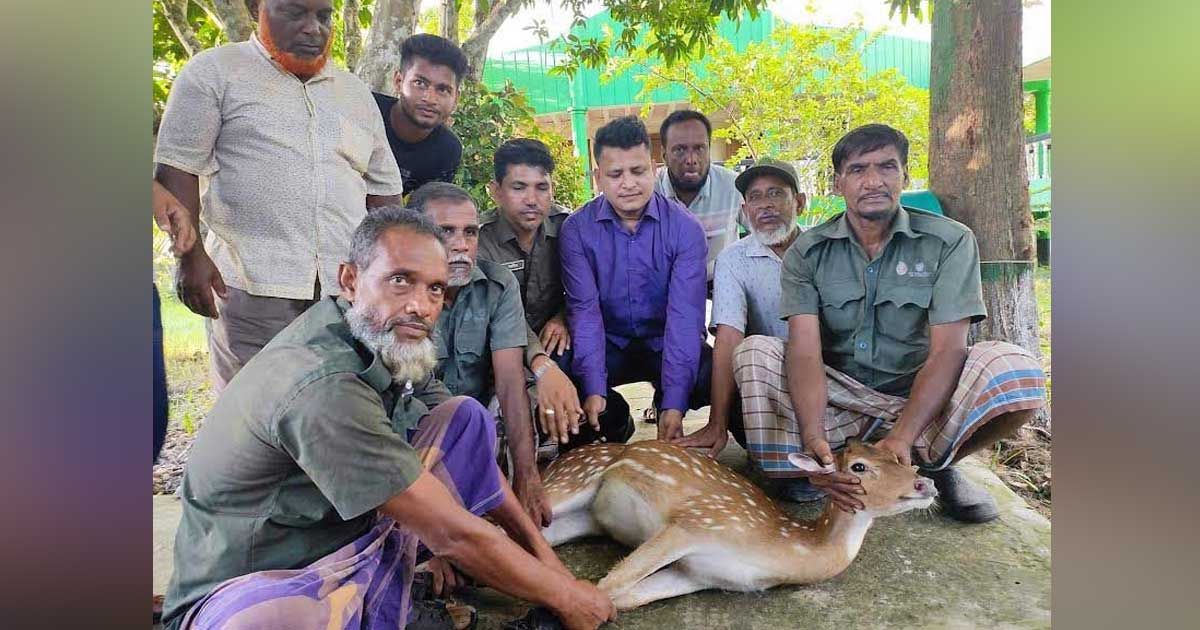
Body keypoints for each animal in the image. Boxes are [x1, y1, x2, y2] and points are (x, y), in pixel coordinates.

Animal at [540, 436, 940, 609]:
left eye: (899, 458)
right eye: (858, 467)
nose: (926, 483)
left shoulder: (700, 575)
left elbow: (623, 597)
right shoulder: (699, 521)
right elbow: (608, 586)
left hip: (585, 518)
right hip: (569, 481)